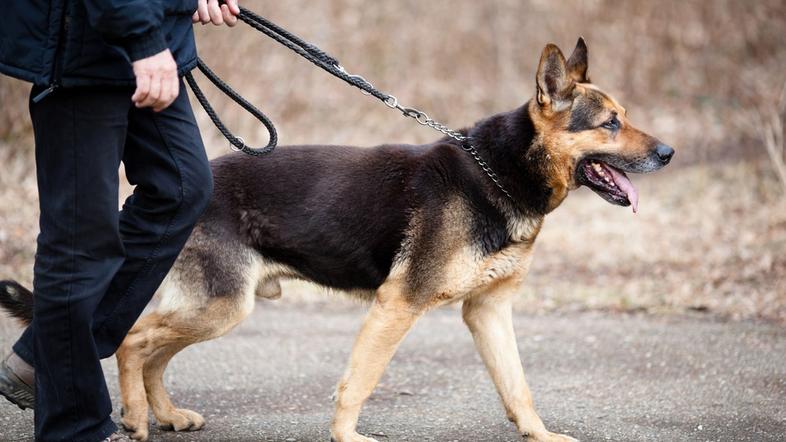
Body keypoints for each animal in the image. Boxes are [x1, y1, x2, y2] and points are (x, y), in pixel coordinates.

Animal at [1, 38, 672, 442]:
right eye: (610, 123)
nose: (668, 152)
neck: (500, 171)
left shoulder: (488, 312)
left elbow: (518, 387)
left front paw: (540, 435)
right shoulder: (397, 306)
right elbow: (360, 382)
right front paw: (347, 437)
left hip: (218, 308)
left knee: (152, 349)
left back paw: (164, 414)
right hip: (222, 305)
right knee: (135, 340)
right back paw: (138, 418)